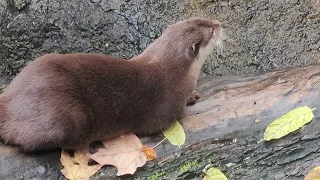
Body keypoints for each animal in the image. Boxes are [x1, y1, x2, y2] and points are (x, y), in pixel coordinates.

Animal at [0, 17, 222, 152]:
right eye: (211, 31)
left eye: (203, 20)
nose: (218, 23)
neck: (177, 72)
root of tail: (8, 102)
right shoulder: (167, 108)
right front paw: (190, 99)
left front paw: (193, 94)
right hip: (64, 119)